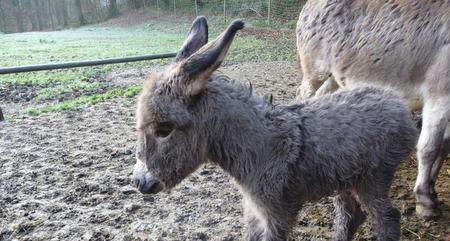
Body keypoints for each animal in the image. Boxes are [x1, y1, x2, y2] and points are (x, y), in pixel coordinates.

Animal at [134, 16, 418, 240]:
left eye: (164, 129)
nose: (139, 182)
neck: (260, 146)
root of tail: (394, 100)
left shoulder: (277, 212)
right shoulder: (254, 209)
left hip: (374, 177)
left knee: (387, 218)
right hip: (348, 177)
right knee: (351, 216)